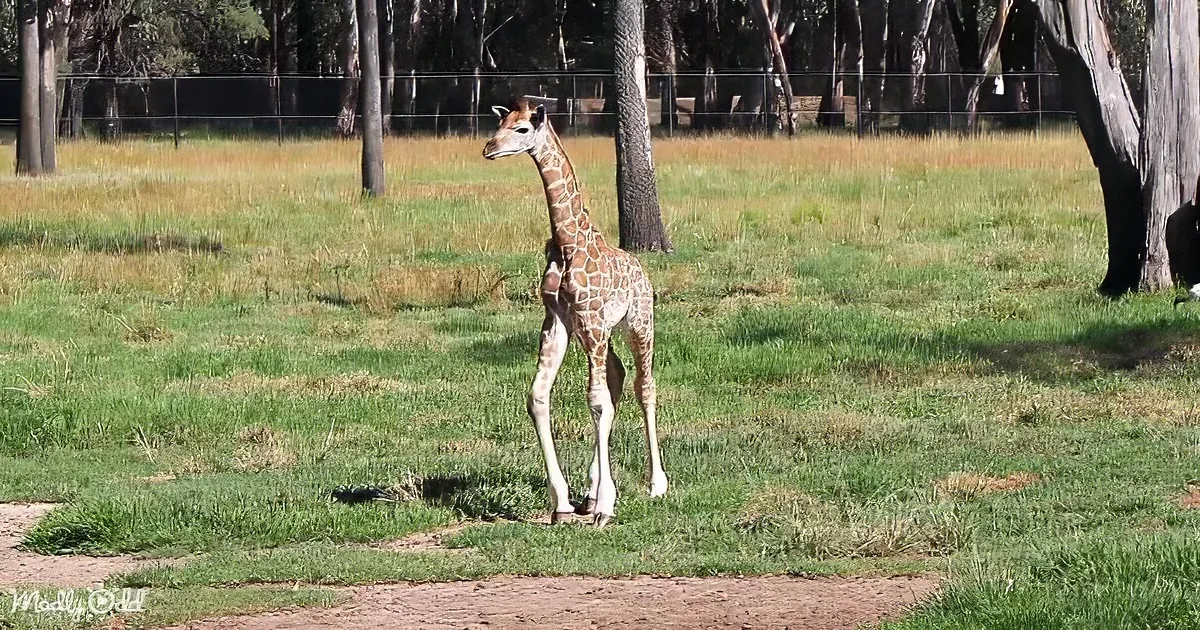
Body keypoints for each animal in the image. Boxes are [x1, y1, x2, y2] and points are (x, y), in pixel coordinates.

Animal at [482, 99, 668, 527]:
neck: (567, 242)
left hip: (638, 322)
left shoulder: (591, 318)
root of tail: (642, 270)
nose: (488, 149)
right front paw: (563, 503)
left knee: (643, 385)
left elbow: (596, 401)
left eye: (522, 129)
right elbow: (538, 396)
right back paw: (590, 490)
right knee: (617, 376)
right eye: (499, 122)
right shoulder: (559, 320)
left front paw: (606, 506)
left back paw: (656, 484)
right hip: (598, 333)